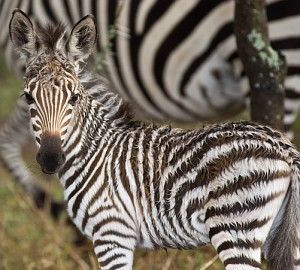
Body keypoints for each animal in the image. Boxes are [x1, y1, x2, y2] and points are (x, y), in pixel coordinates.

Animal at [9, 8, 300, 270]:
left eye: (74, 98)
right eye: (28, 97)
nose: (50, 159)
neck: (94, 153)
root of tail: (281, 145)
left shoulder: (112, 233)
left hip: (235, 225)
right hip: (282, 232)